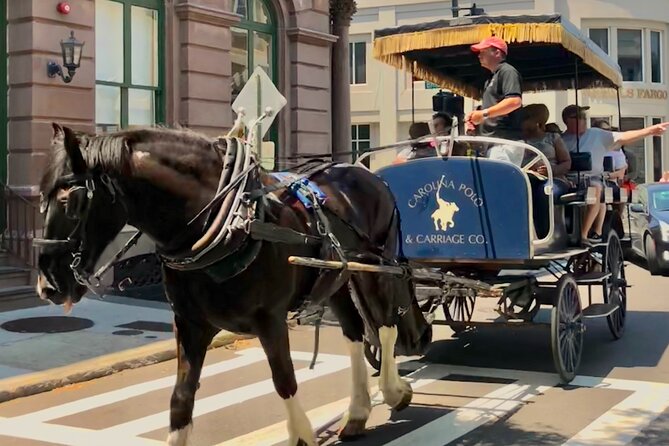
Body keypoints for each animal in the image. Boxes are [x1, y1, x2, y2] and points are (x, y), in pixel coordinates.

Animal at [36, 123, 430, 444]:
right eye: (41, 198)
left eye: (71, 200)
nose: (47, 285)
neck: (220, 222)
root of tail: (369, 174)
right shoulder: (190, 324)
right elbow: (181, 399)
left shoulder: (269, 318)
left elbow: (284, 379)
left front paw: (302, 434)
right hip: (334, 278)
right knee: (354, 332)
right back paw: (358, 413)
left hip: (376, 267)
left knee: (385, 327)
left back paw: (393, 391)